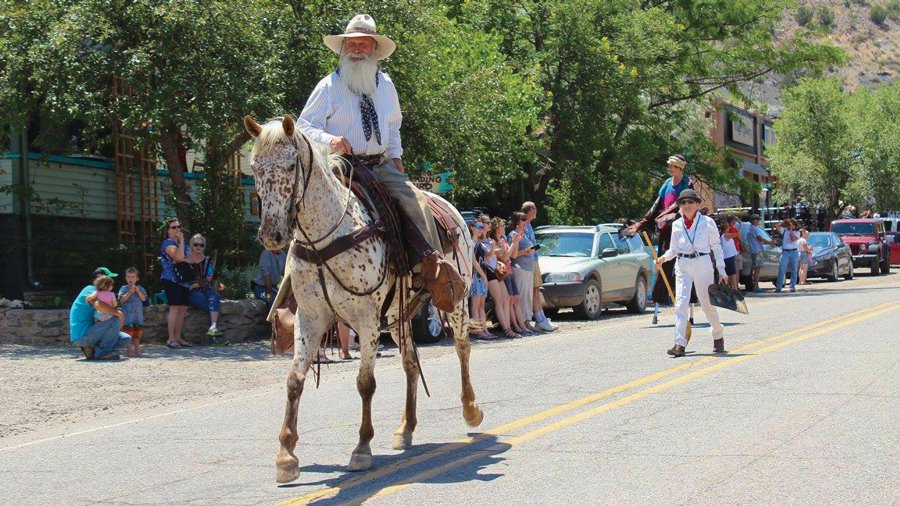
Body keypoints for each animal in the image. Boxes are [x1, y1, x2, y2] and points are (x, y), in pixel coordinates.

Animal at [241, 114, 486, 482]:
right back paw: (405, 428)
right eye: (255, 166)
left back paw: (471, 409)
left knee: (462, 348)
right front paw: (286, 455)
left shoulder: (366, 319)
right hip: (398, 316)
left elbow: (365, 382)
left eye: (289, 165)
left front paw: (361, 448)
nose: (272, 234)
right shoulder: (310, 318)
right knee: (410, 362)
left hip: (455, 303)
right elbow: (295, 380)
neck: (325, 237)